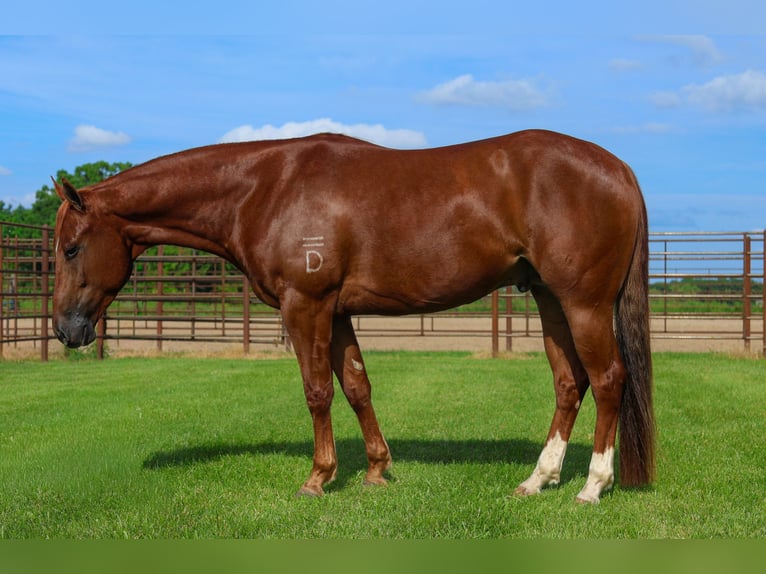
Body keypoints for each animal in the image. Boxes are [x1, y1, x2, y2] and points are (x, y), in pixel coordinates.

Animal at [52, 129, 655, 504]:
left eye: (71, 248)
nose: (64, 329)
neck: (265, 188)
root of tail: (620, 168)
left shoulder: (306, 304)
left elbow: (318, 390)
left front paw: (318, 479)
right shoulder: (337, 312)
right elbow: (357, 386)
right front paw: (376, 471)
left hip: (583, 303)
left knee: (608, 380)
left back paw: (592, 486)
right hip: (550, 301)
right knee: (569, 383)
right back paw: (538, 479)